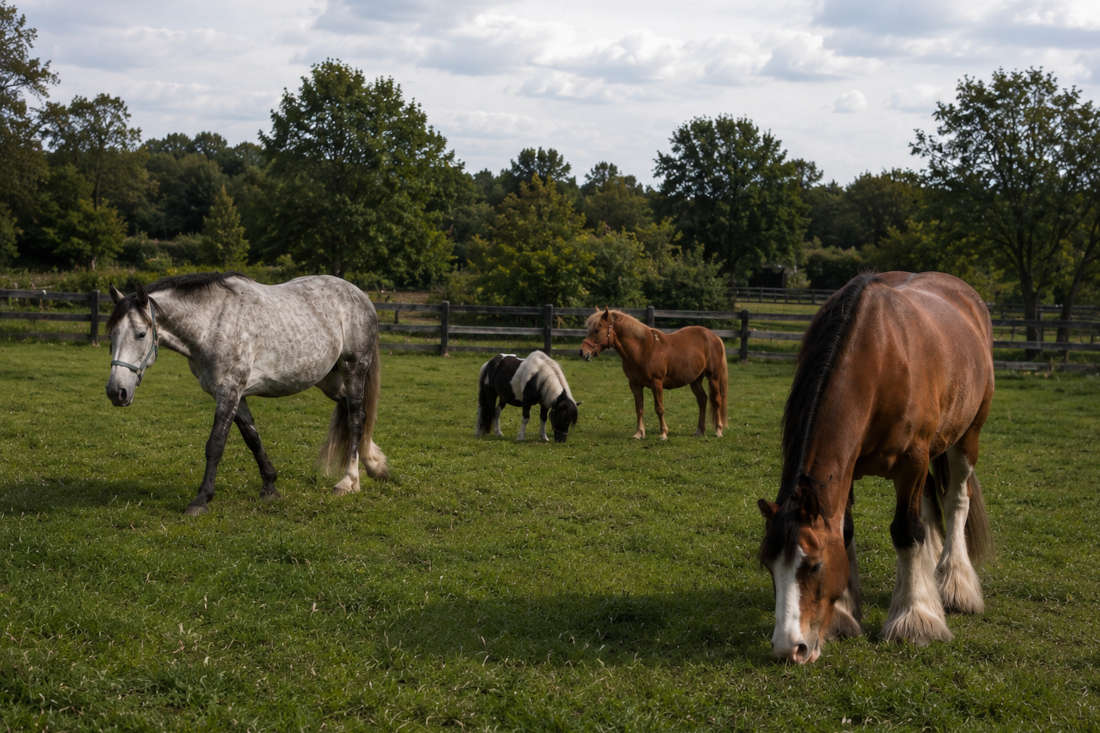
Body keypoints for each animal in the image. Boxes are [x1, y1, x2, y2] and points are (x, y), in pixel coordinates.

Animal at [104, 272, 389, 516]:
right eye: (112, 335)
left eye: (141, 334)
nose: (116, 392)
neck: (213, 323)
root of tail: (361, 296)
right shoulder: (234, 394)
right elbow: (252, 438)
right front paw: (270, 486)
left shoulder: (229, 391)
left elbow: (215, 444)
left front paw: (201, 500)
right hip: (329, 380)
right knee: (352, 414)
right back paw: (374, 465)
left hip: (354, 370)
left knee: (356, 418)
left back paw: (349, 481)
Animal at [579, 308, 727, 440]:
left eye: (597, 330)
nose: (582, 352)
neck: (643, 349)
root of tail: (714, 337)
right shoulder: (635, 385)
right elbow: (639, 408)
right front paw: (639, 433)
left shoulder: (657, 383)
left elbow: (659, 408)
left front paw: (663, 434)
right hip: (695, 380)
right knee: (702, 400)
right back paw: (699, 431)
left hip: (713, 377)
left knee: (717, 400)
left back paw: (718, 431)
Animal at [756, 271, 995, 664]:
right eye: (768, 565)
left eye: (814, 565)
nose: (789, 648)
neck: (880, 357)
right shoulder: (850, 468)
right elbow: (846, 530)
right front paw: (843, 615)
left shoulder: (913, 461)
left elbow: (905, 532)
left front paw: (914, 620)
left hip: (967, 437)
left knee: (955, 502)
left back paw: (955, 584)